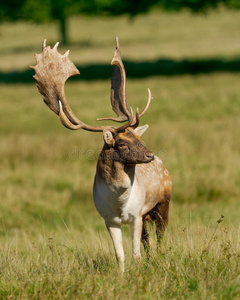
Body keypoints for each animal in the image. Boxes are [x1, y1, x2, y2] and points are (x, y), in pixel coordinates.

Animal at [30, 37, 172, 272]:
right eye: (122, 144)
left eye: (138, 138)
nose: (149, 155)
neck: (119, 204)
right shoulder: (108, 219)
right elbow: (120, 254)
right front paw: (122, 276)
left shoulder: (135, 215)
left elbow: (135, 254)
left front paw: (138, 273)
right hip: (146, 214)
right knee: (148, 240)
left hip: (163, 201)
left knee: (161, 236)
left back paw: (161, 258)